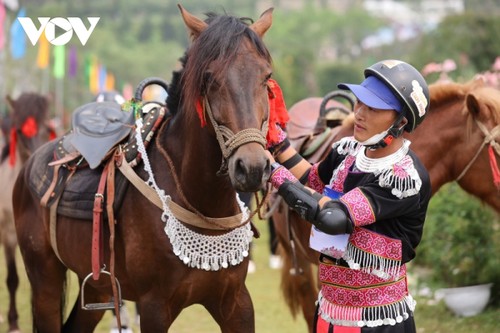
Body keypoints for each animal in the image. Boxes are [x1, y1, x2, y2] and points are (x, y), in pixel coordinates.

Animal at [12, 5, 274, 332]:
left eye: (266, 77)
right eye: (210, 78)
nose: (252, 167)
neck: (203, 205)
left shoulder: (236, 302)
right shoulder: (155, 306)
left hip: (97, 286)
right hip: (44, 279)